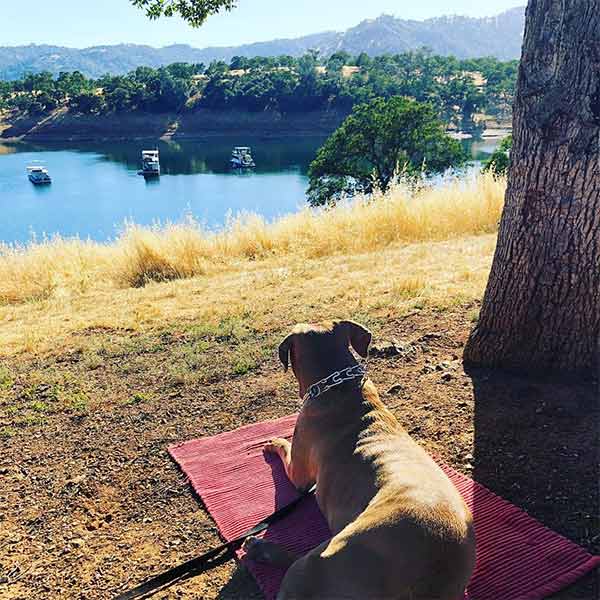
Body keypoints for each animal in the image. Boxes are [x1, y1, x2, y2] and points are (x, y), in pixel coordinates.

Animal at [241, 322, 476, 600]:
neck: (340, 386)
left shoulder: (297, 470)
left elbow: (286, 450)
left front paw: (275, 441)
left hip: (323, 559)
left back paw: (260, 548)